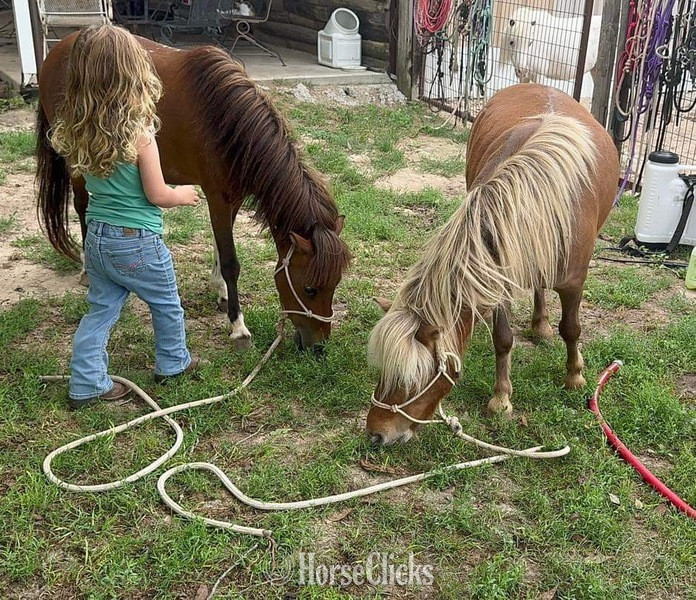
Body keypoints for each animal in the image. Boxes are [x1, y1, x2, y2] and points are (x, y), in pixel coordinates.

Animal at [35, 34, 351, 352]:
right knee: (81, 206)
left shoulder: (232, 198)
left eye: (335, 284)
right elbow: (231, 262)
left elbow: (219, 248)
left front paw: (220, 291)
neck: (226, 121)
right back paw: (88, 270)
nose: (318, 348)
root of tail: (61, 47)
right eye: (309, 288)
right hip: (76, 161)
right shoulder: (218, 197)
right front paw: (238, 325)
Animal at [366, 83, 619, 445]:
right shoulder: (497, 282)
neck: (531, 199)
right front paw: (502, 397)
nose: (376, 434)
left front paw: (575, 376)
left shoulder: (573, 282)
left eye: (412, 378)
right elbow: (503, 339)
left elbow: (571, 329)